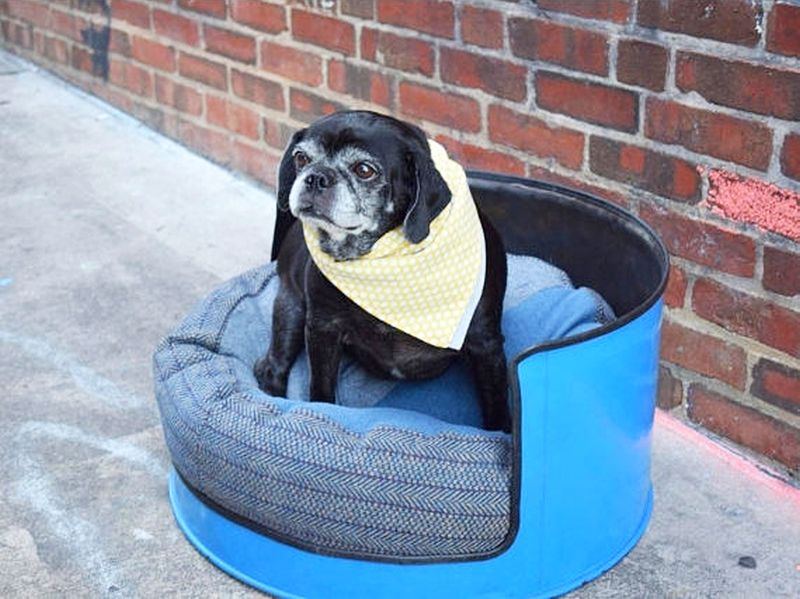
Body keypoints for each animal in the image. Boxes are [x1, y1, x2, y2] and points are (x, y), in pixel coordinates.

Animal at [253, 112, 510, 432]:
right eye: (301, 158)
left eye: (364, 170)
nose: (315, 176)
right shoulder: (322, 328)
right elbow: (321, 389)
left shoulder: (487, 346)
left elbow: (497, 406)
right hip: (290, 311)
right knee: (273, 366)